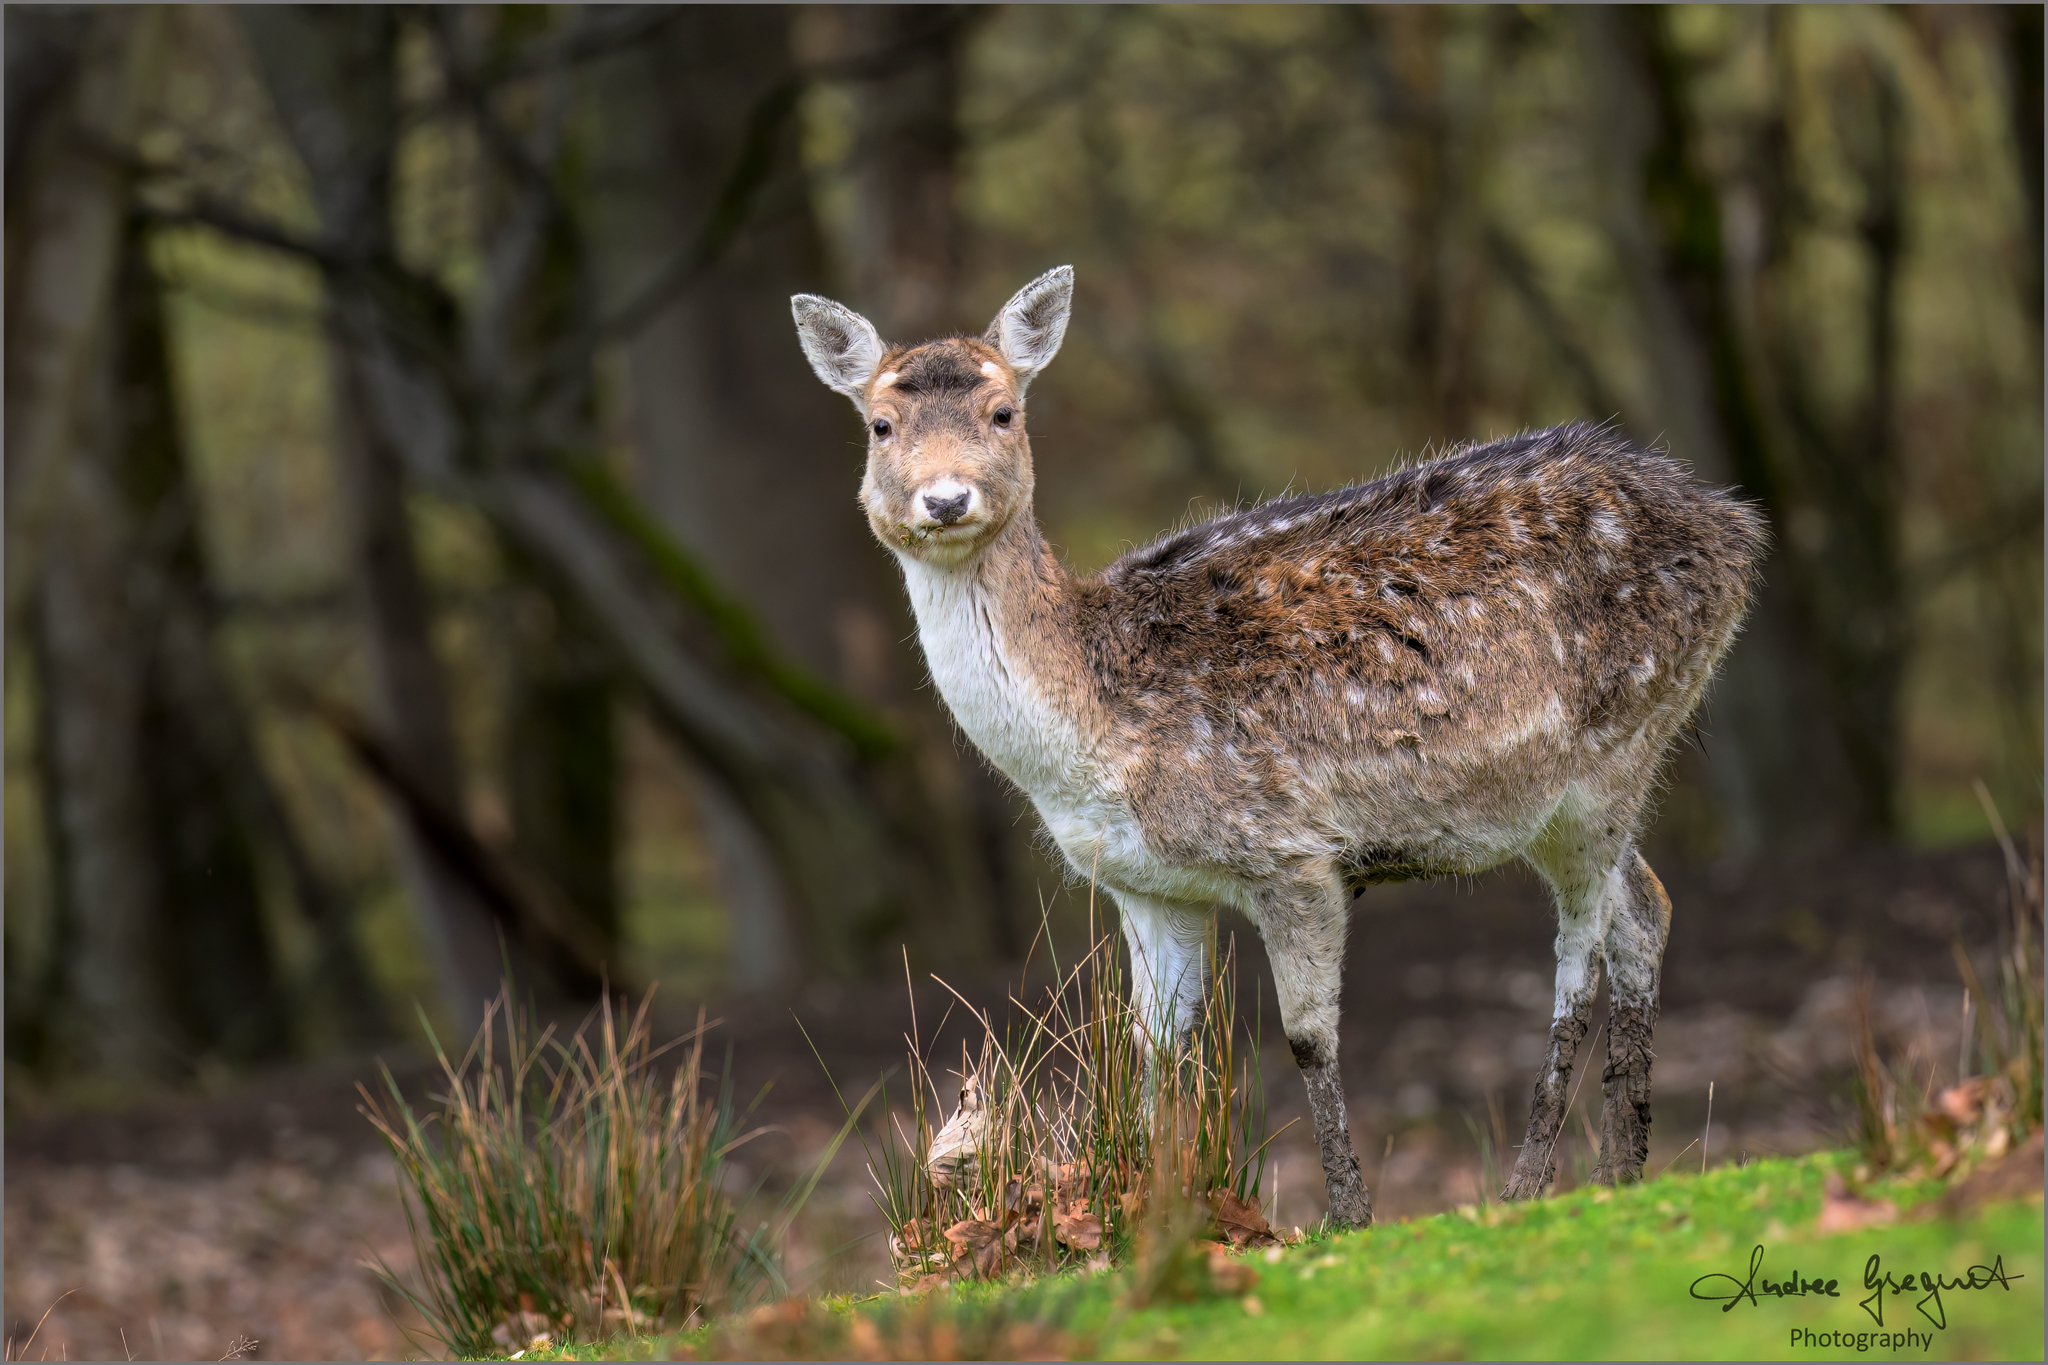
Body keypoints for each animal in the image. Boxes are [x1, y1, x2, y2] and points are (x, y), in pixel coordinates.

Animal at [790, 266, 1769, 1227]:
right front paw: (1154, 1212)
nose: (945, 498)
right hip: (1577, 789)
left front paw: (1347, 1219)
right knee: (1646, 908)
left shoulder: (1289, 851)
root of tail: (1739, 527)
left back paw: (1528, 1186)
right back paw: (1622, 1173)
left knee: (1583, 949)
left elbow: (1306, 1037)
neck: (1098, 744)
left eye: (1004, 412)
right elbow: (1154, 1048)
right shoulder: (1146, 885)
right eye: (880, 424)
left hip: (1617, 744)